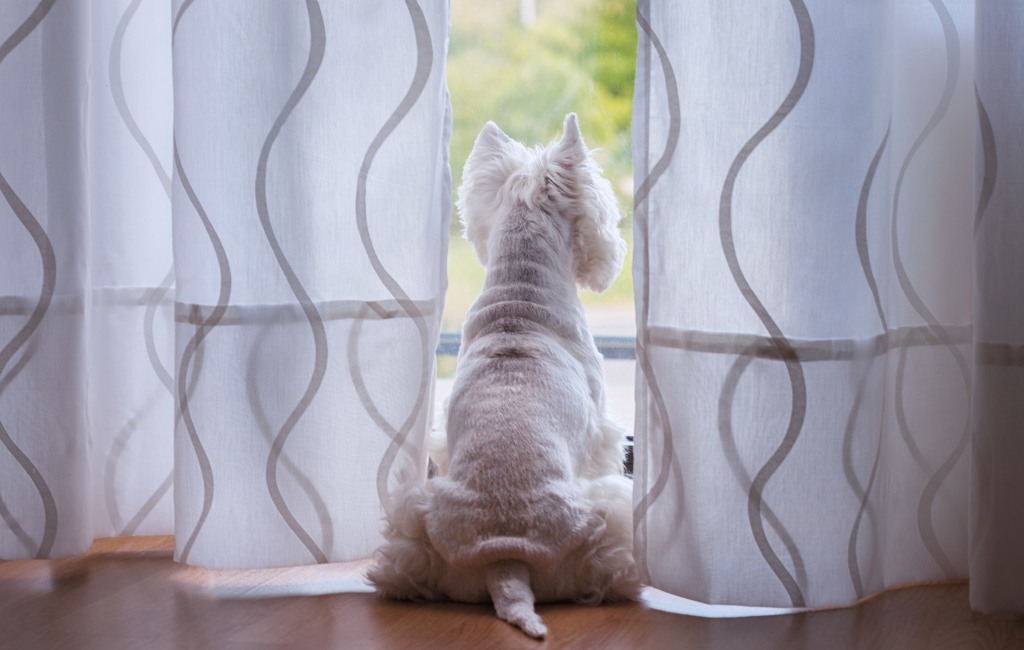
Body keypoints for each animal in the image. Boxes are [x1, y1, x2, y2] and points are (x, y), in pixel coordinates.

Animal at [368, 114, 638, 638]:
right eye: (604, 207)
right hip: (607, 510)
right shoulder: (603, 435)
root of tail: (505, 554)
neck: (521, 290)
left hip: (416, 520)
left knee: (400, 570)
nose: (617, 251)